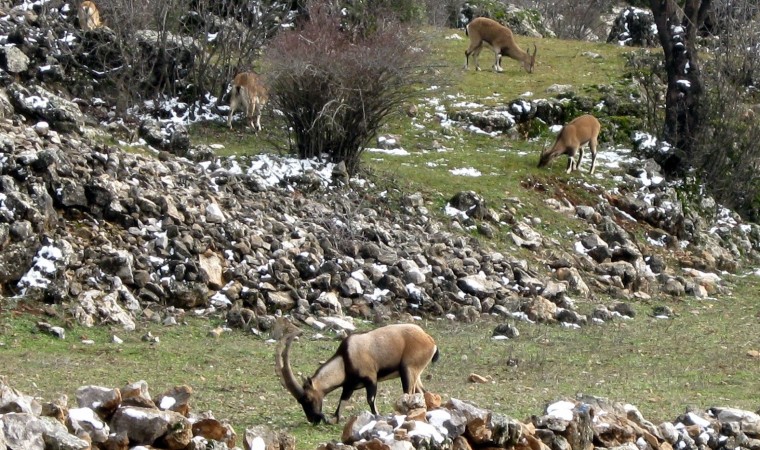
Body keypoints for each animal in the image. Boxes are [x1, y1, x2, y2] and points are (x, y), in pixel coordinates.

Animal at [274, 324, 440, 426]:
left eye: (308, 398)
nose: (313, 419)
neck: (345, 360)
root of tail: (430, 340)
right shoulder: (349, 386)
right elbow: (341, 402)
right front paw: (333, 419)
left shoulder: (371, 378)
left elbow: (370, 400)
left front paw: (377, 417)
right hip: (415, 374)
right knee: (423, 392)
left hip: (408, 370)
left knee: (410, 393)